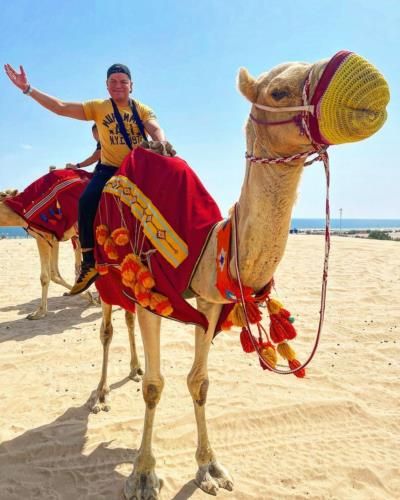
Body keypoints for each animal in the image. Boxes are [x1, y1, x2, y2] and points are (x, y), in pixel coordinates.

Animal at [0, 189, 97, 318]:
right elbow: (54, 274)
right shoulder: (53, 239)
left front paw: (39, 313)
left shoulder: (42, 237)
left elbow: (45, 277)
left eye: (3, 194)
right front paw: (88, 295)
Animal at [89, 49, 390, 496]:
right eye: (279, 91)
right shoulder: (150, 289)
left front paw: (209, 468)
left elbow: (199, 381)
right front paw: (143, 474)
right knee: (108, 326)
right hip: (107, 268)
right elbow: (155, 387)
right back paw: (102, 393)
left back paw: (133, 367)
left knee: (125, 324)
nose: (367, 77)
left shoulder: (210, 301)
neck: (209, 245)